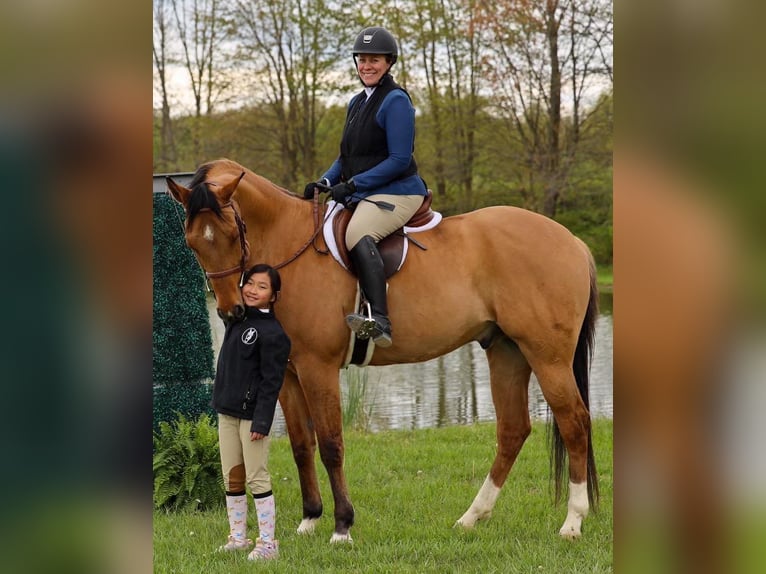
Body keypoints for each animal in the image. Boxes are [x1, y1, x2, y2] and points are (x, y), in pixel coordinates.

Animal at [166, 158, 599, 543]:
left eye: (231, 233)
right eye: (192, 242)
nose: (232, 312)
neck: (288, 245)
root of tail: (572, 241)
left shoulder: (317, 367)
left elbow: (331, 445)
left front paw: (342, 526)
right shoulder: (287, 372)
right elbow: (302, 446)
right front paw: (309, 520)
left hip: (547, 356)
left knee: (574, 423)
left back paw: (573, 522)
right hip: (507, 351)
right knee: (513, 430)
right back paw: (472, 517)